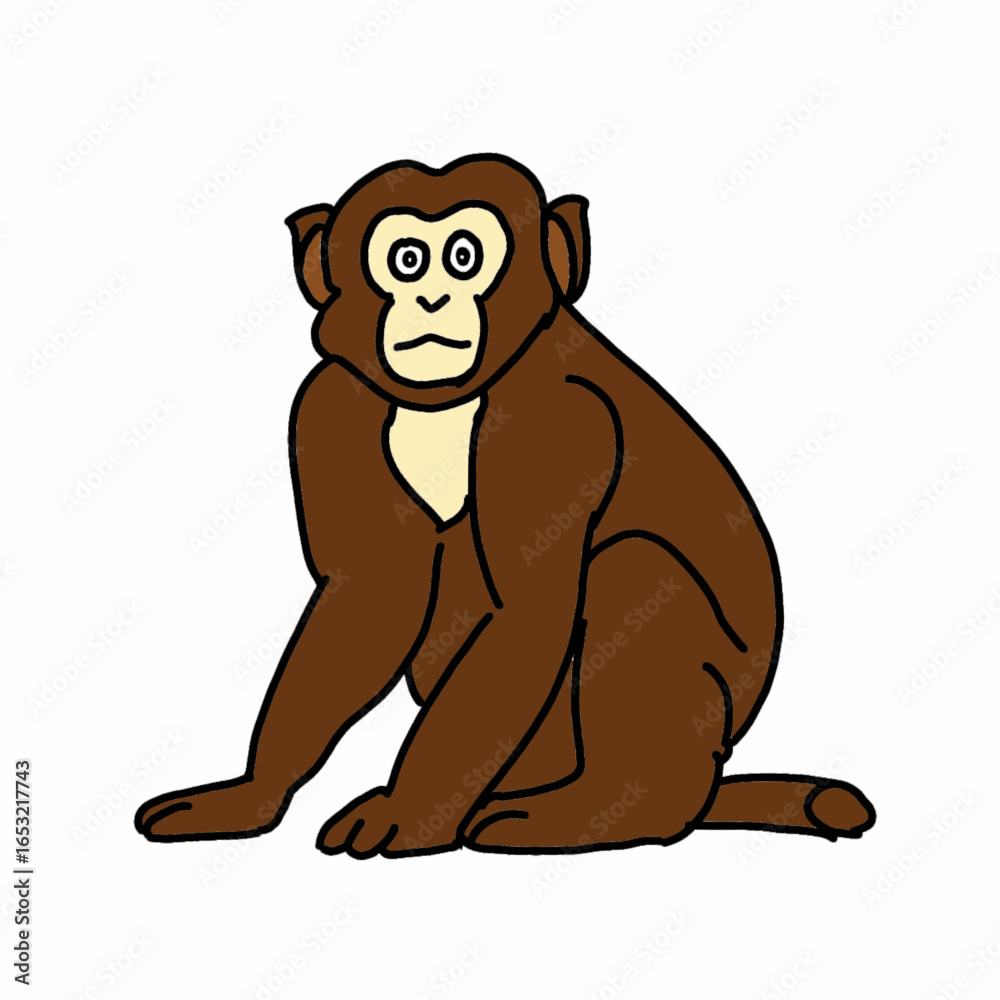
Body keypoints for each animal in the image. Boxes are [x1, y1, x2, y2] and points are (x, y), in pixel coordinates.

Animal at [135, 153, 875, 857]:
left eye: (465, 256)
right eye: (407, 260)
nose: (434, 296)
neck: (449, 404)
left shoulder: (558, 420)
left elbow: (528, 615)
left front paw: (410, 814)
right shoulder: (328, 403)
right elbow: (369, 599)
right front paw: (252, 794)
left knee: (635, 570)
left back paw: (610, 808)